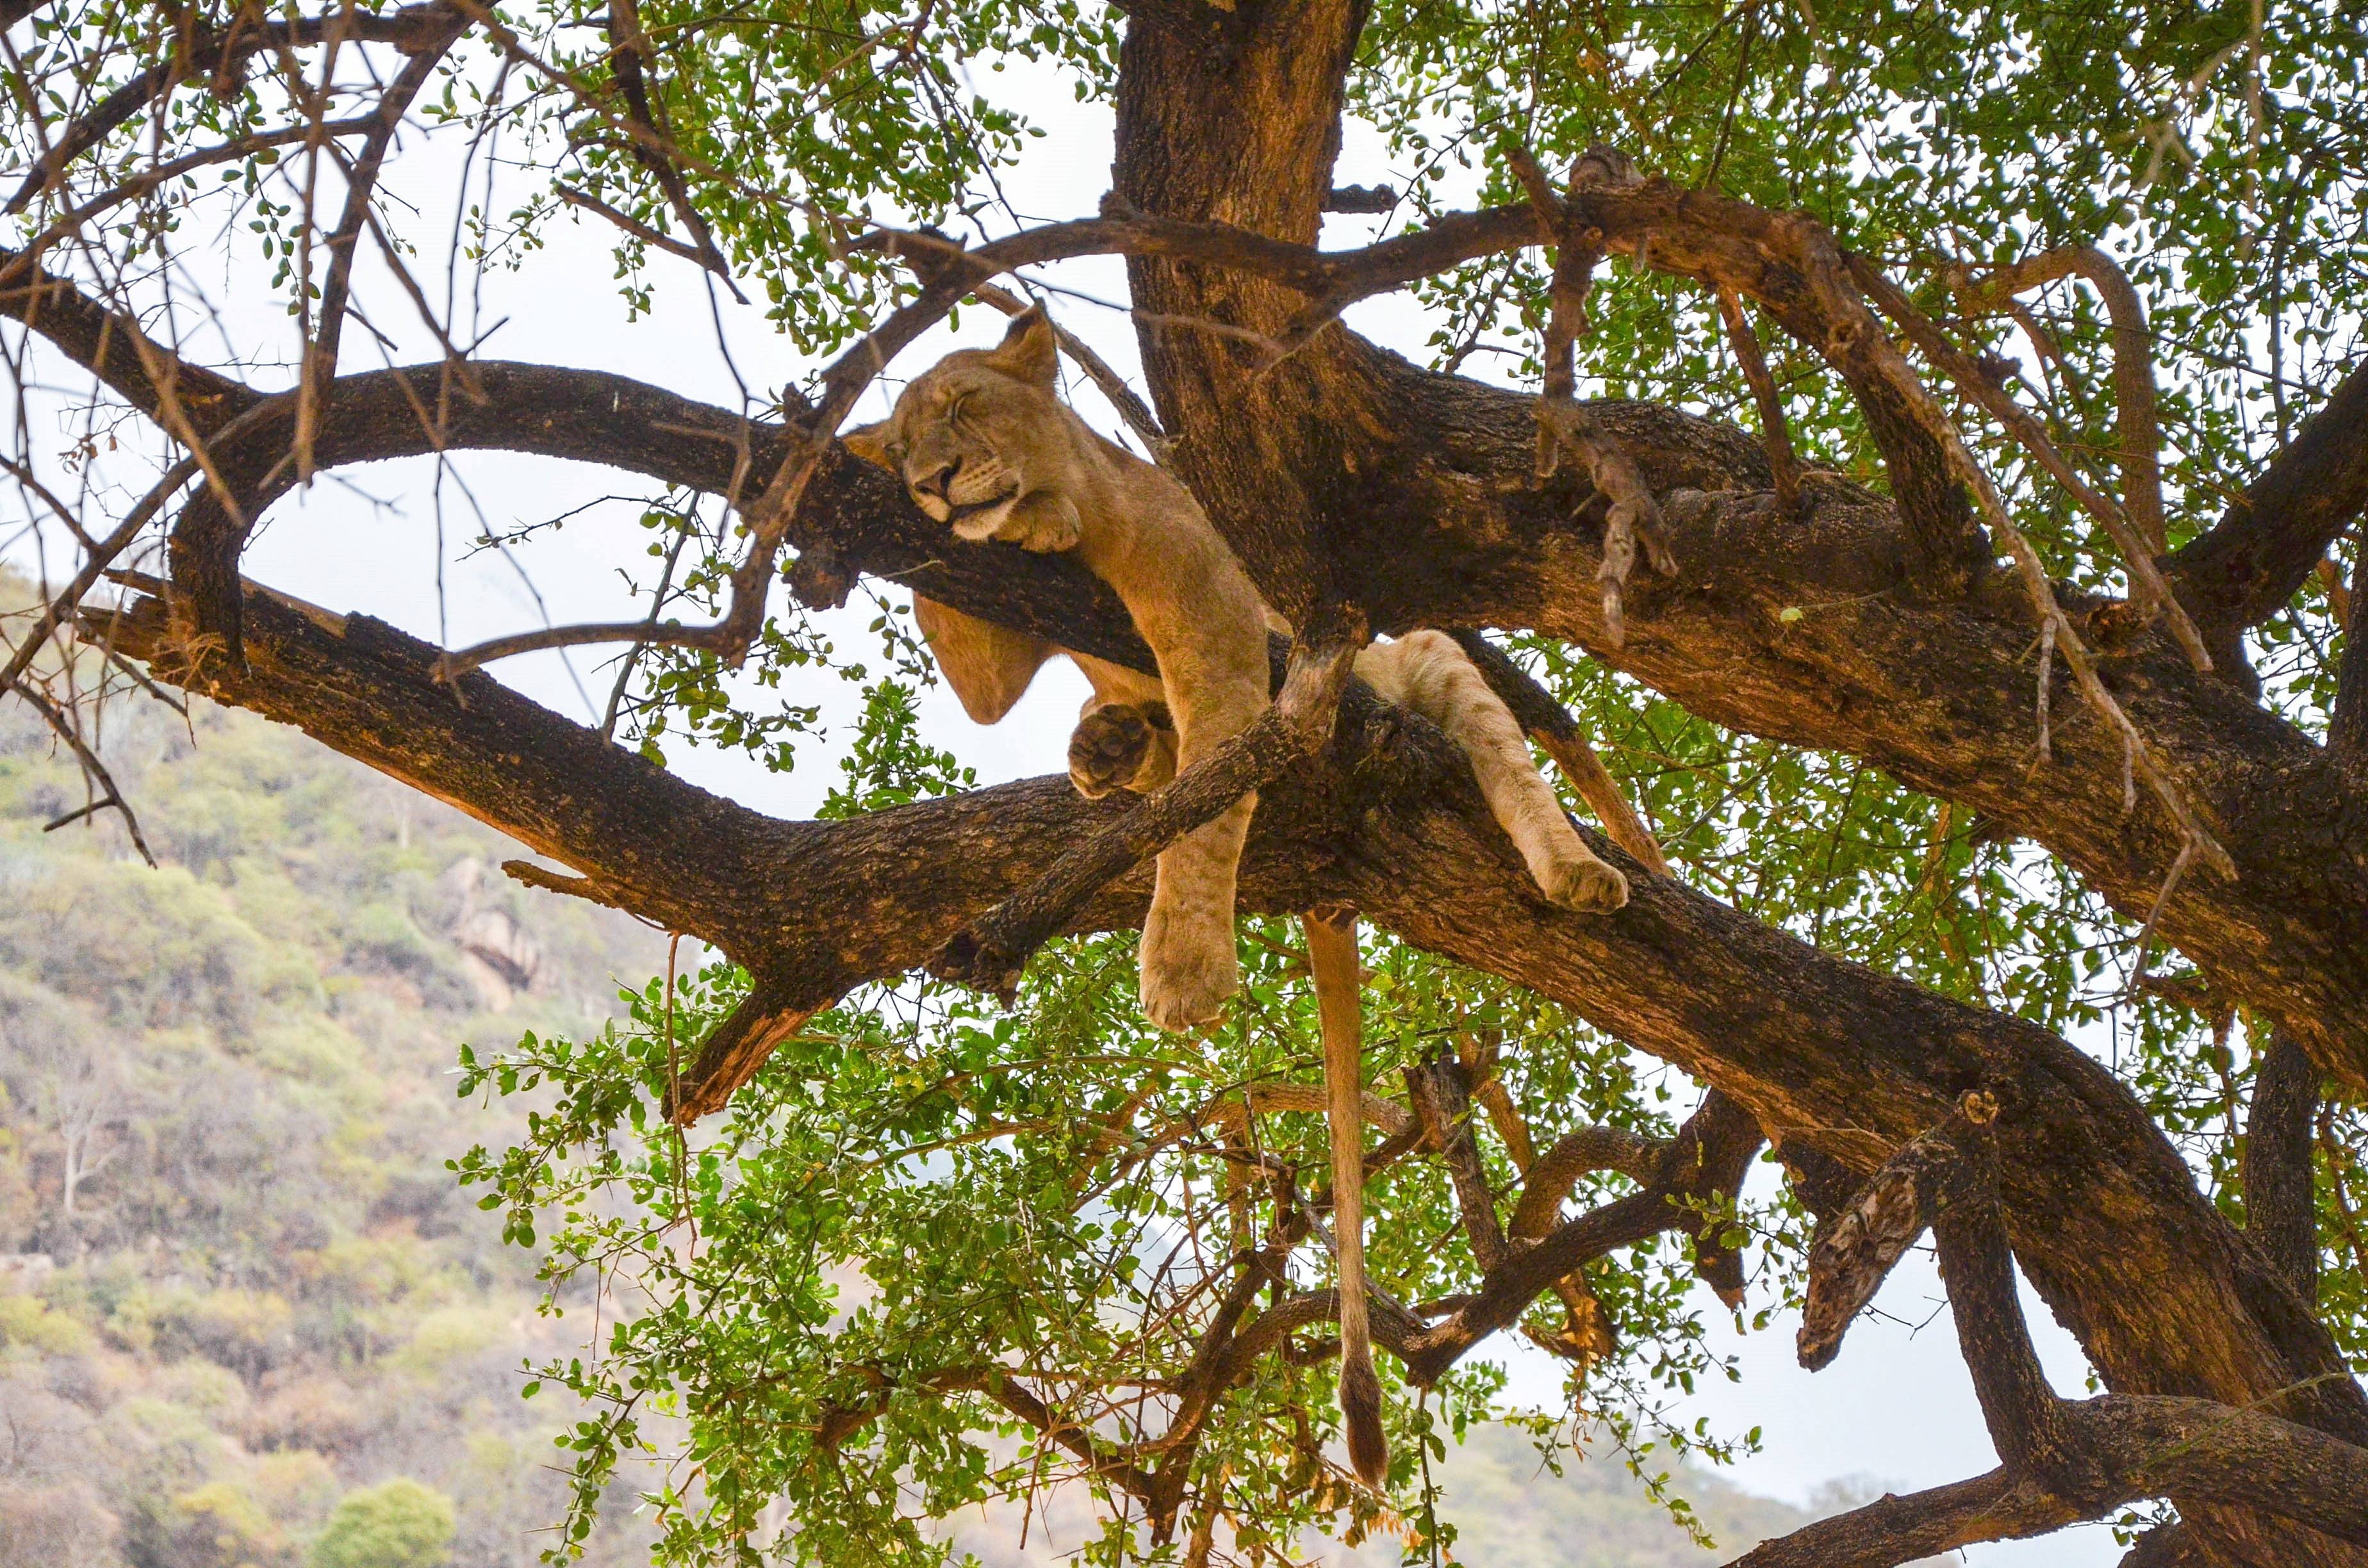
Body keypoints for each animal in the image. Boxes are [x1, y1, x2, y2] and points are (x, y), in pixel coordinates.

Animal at [842, 303, 1635, 1488]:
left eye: (966, 402)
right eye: (903, 443)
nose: (932, 479)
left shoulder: (1217, 622)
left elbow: (1208, 808)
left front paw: (1182, 969)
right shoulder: (991, 664)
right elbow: (977, 653)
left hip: (1420, 657)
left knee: (1504, 759)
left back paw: (1575, 869)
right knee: (1141, 757)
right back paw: (1110, 745)